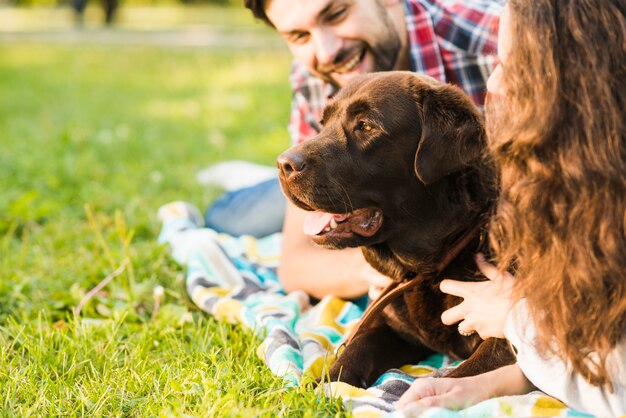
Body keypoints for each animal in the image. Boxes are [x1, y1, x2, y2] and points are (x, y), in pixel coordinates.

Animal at [276, 70, 512, 386]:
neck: (427, 269)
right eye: (323, 123)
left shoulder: (503, 339)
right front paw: (321, 388)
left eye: (366, 126)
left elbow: (461, 376)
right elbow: (354, 351)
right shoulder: (390, 325)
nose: (284, 164)